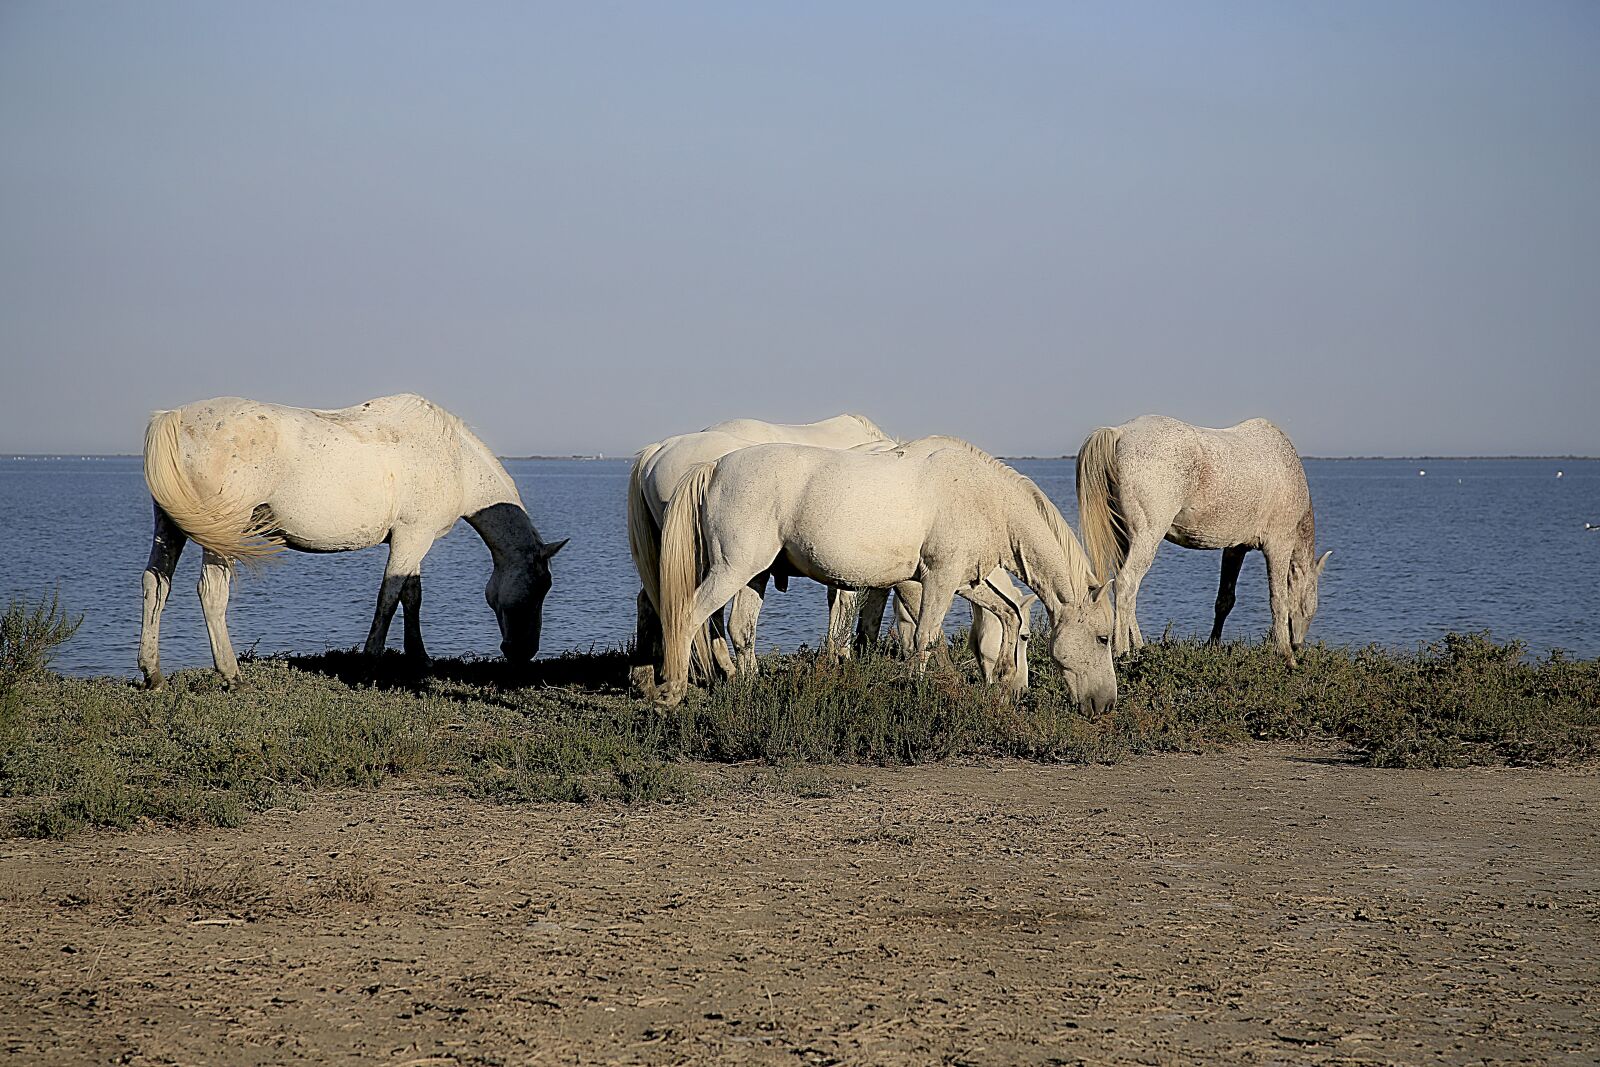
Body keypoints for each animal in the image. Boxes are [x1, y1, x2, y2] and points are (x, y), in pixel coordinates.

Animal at [137, 393, 566, 688]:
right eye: (539, 587)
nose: (523, 653)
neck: (454, 458)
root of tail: (174, 418)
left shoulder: (414, 538)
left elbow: (411, 596)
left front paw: (420, 659)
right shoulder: (413, 537)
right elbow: (389, 597)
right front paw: (369, 665)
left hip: (170, 526)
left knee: (156, 584)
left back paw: (153, 674)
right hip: (221, 535)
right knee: (211, 593)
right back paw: (231, 675)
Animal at [653, 437, 1115, 710]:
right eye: (1103, 638)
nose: (1106, 704)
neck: (984, 498)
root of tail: (715, 466)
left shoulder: (965, 580)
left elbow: (1006, 613)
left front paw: (1000, 681)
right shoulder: (938, 580)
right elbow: (924, 638)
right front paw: (916, 691)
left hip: (756, 575)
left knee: (741, 629)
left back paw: (749, 691)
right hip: (732, 570)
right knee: (690, 618)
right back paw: (671, 693)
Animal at [1074, 414, 1330, 666]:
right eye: (1308, 605)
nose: (1297, 645)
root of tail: (1119, 433)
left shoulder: (1235, 548)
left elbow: (1225, 599)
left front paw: (1212, 645)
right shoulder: (1278, 545)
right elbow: (1279, 599)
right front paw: (1286, 655)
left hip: (1125, 538)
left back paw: (1139, 646)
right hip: (1146, 537)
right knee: (1126, 583)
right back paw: (1123, 652)